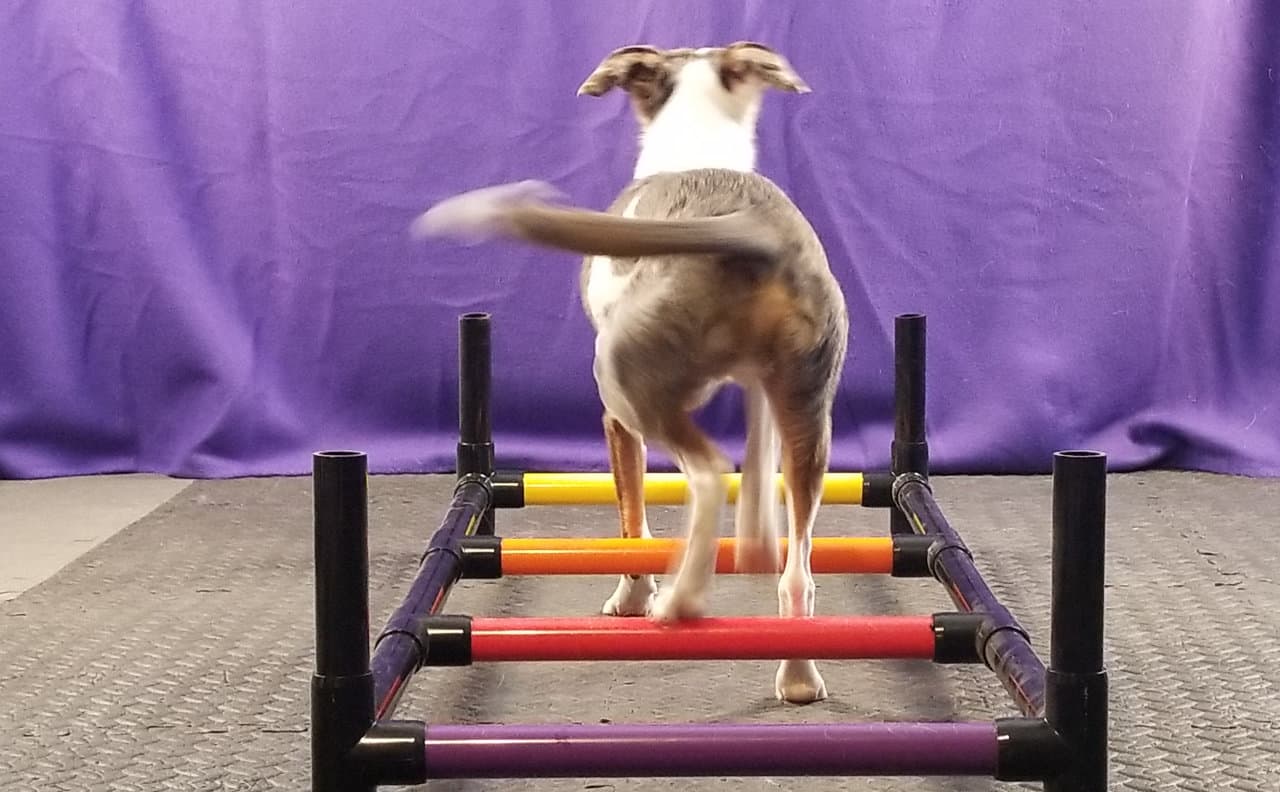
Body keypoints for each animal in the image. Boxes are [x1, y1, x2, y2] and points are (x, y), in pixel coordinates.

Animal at [414, 40, 844, 701]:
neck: (699, 142)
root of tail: (749, 229)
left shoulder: (617, 426)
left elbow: (631, 523)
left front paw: (633, 597)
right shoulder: (764, 396)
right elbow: (756, 478)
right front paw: (753, 541)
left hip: (624, 380)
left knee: (709, 472)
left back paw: (682, 601)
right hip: (808, 415)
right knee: (797, 569)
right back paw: (797, 672)